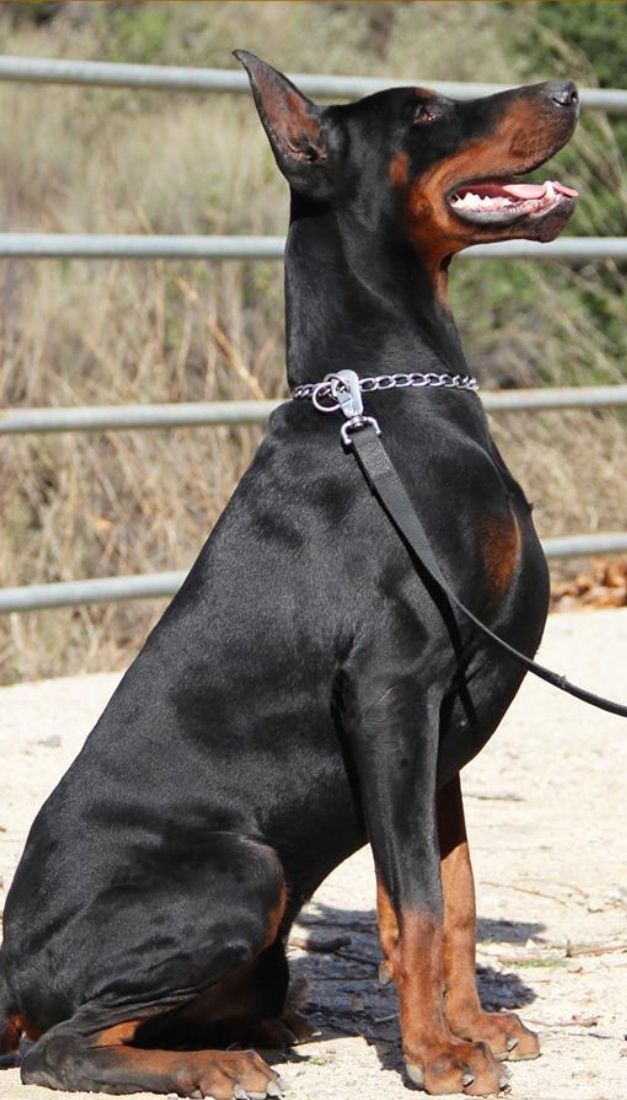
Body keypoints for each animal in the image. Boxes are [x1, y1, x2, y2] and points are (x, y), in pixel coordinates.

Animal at [0, 53, 578, 1098]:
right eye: (422, 112)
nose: (568, 93)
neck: (385, 402)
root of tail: (8, 968)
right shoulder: (390, 689)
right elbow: (414, 903)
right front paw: (435, 1056)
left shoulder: (442, 723)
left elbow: (454, 892)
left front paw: (472, 1027)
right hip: (245, 869)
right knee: (55, 1048)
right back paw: (215, 1065)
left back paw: (265, 1026)